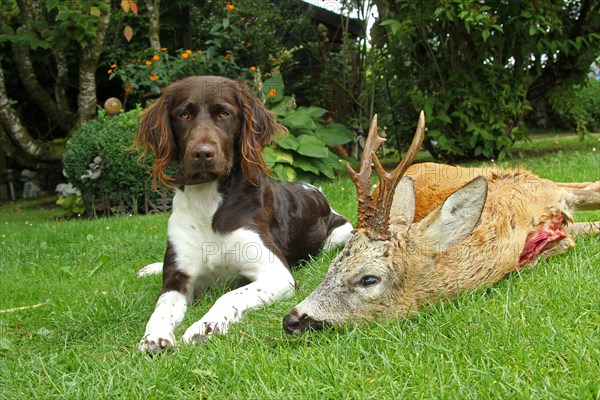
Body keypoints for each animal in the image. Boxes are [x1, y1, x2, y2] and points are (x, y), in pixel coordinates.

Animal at [135, 76, 352, 352]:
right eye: (183, 114)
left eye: (224, 113)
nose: (202, 153)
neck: (208, 202)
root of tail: (313, 188)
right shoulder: (177, 278)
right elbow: (161, 308)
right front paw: (153, 337)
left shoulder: (277, 274)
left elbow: (230, 295)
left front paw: (204, 327)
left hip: (340, 234)